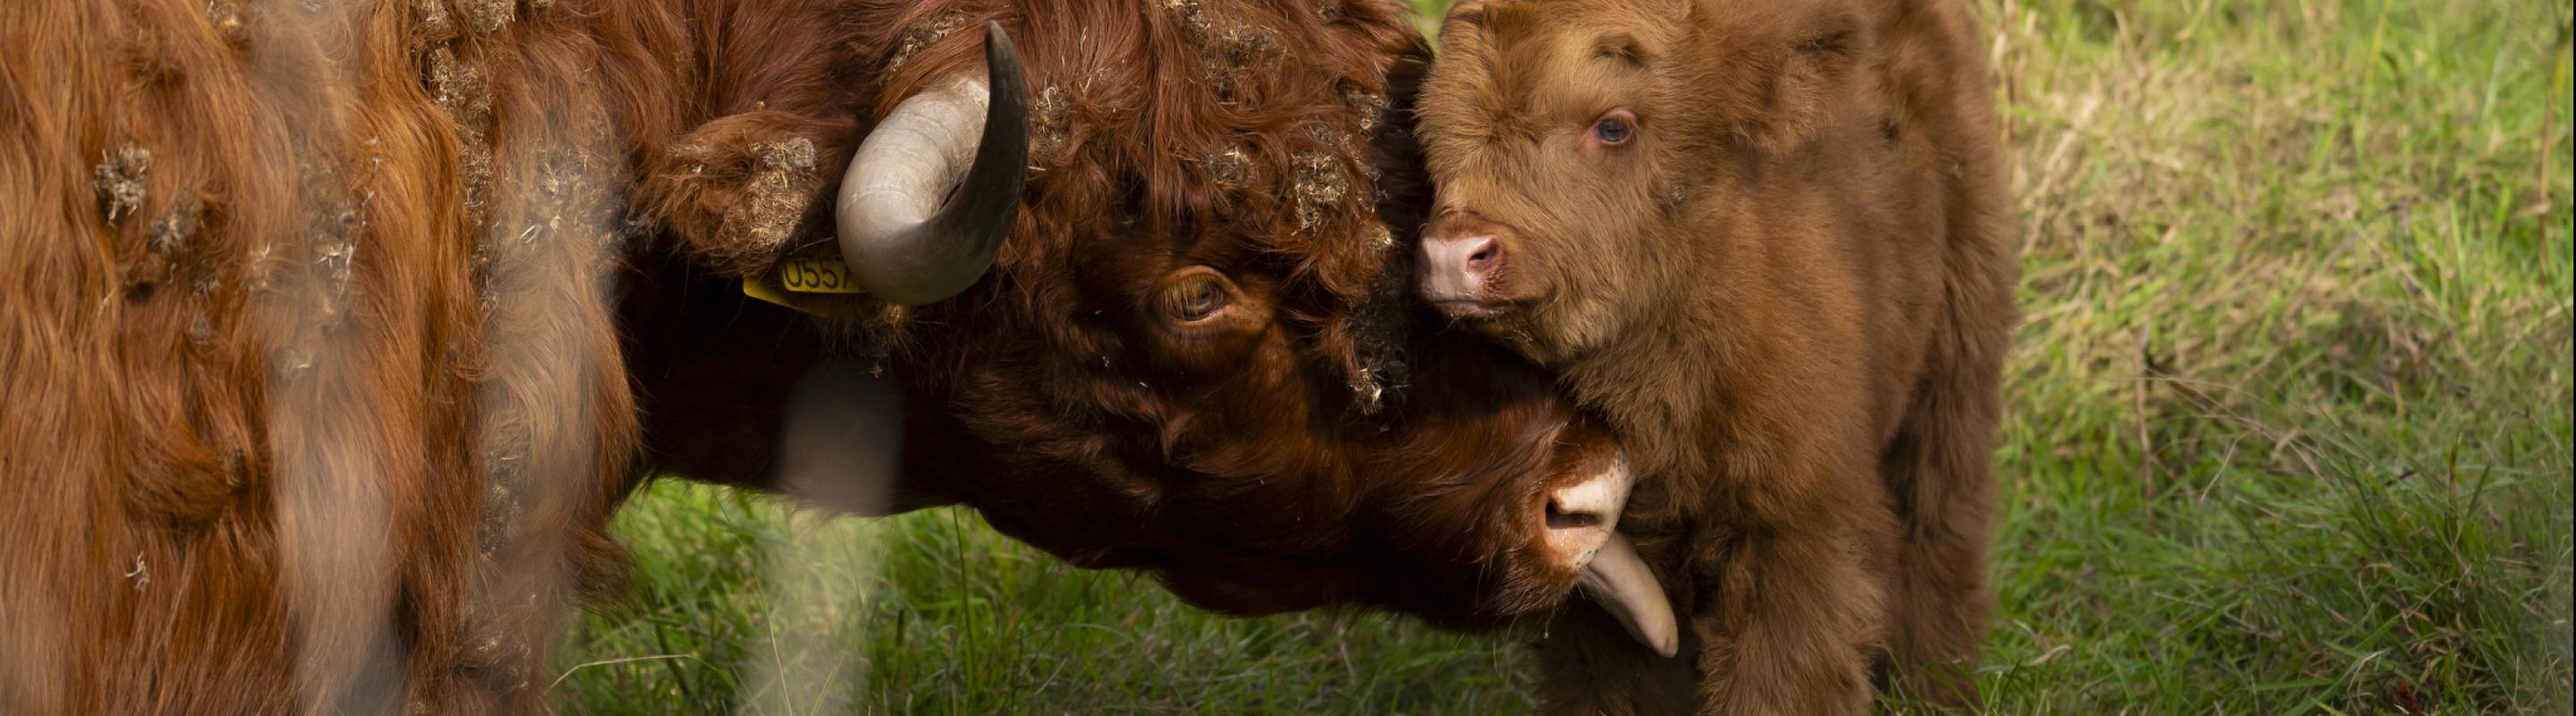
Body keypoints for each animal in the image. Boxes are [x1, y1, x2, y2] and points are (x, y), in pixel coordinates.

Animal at [1408, 0, 2017, 712]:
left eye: (1613, 127)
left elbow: (1784, 678)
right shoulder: (1595, 555)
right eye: (1431, 132)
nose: (1456, 253)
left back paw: (1936, 689)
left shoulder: (1797, 531)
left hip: (1956, 363)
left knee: (1940, 528)